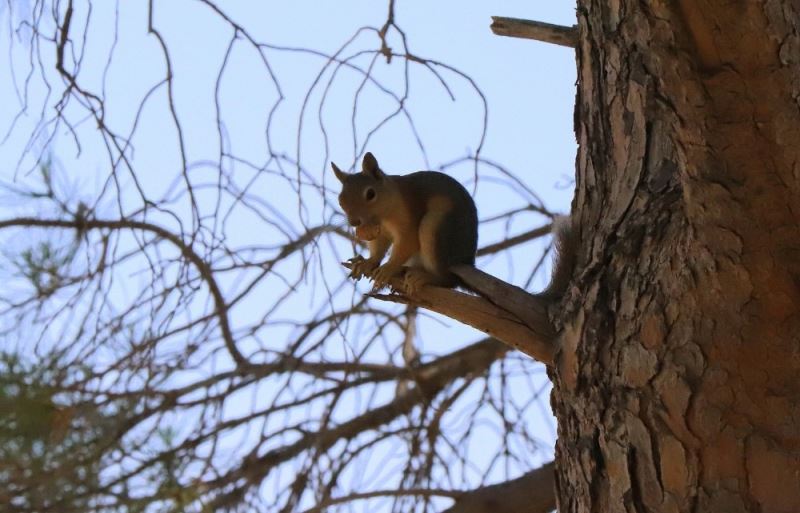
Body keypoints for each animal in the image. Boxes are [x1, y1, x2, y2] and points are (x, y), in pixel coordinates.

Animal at [332, 152, 575, 300]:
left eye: (370, 194)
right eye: (340, 199)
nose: (354, 222)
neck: (385, 214)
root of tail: (464, 261)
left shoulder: (409, 218)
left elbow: (406, 243)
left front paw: (387, 269)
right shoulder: (380, 233)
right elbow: (378, 248)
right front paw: (367, 263)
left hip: (433, 227)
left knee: (448, 280)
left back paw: (425, 277)